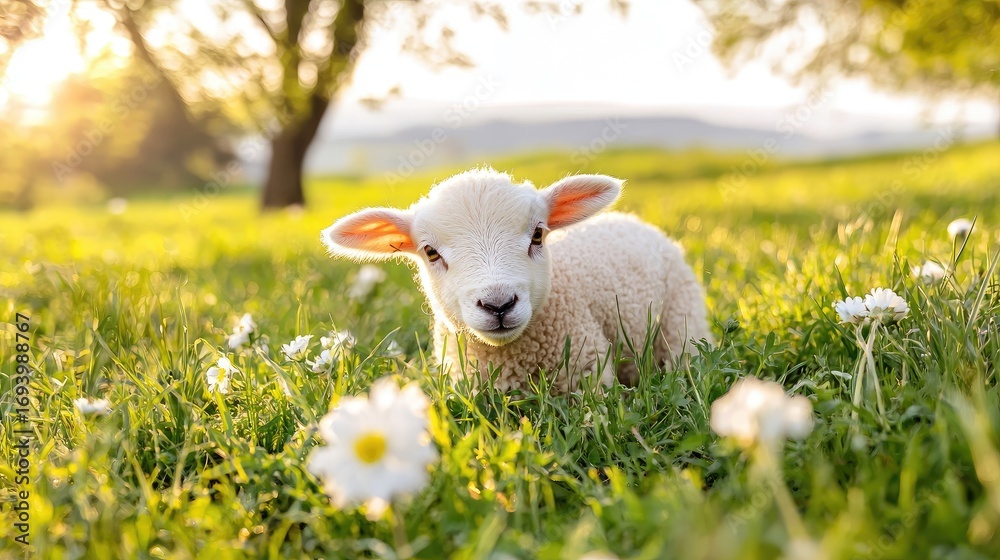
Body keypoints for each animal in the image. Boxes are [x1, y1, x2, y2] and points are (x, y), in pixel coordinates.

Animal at [321, 168, 712, 392]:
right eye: (430, 252)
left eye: (538, 234)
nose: (498, 304)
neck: (510, 358)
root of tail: (634, 220)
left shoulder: (588, 373)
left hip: (681, 318)